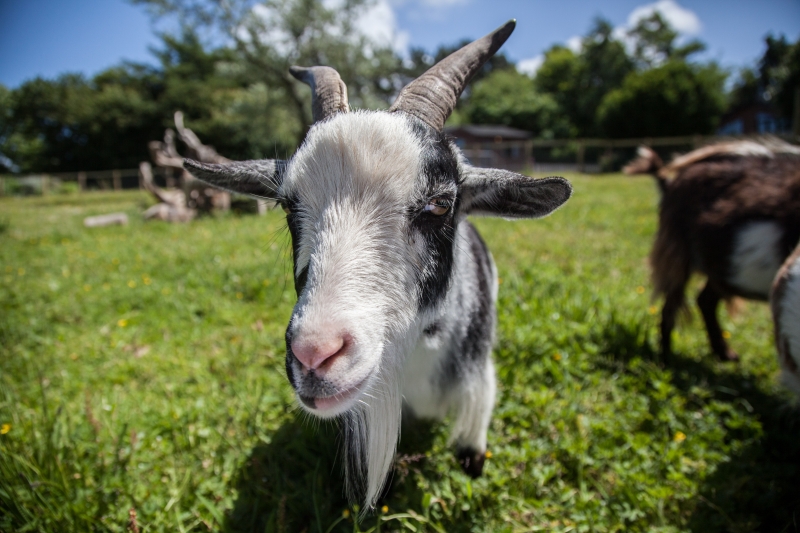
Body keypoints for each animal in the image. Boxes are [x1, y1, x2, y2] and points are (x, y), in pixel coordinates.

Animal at [624, 138, 800, 362]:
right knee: (672, 305)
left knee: (704, 300)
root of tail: (670, 183)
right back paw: (667, 359)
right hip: (678, 251)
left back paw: (723, 352)